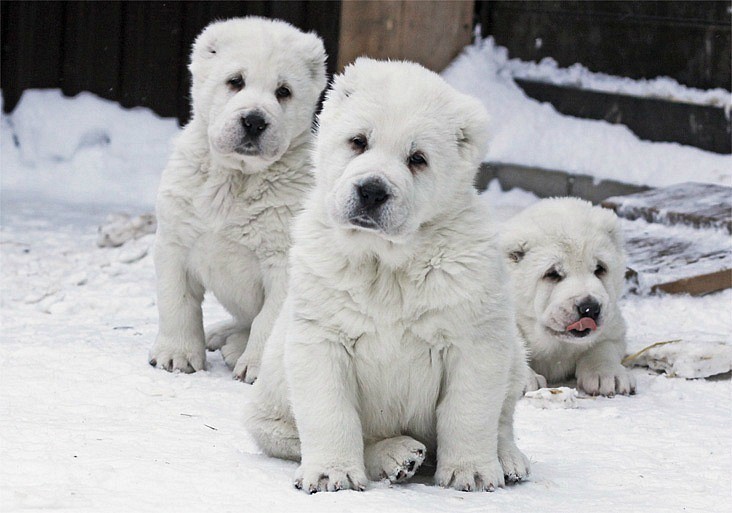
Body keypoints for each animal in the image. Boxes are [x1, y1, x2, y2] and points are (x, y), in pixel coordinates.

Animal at [149, 17, 326, 380]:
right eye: (235, 81)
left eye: (283, 91)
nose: (254, 121)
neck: (236, 180)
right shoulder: (175, 238)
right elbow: (177, 300)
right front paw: (177, 356)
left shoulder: (284, 260)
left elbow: (269, 320)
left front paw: (255, 368)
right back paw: (220, 335)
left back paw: (233, 347)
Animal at [249, 57, 528, 492]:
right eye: (358, 141)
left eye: (418, 158)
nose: (372, 191)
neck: (385, 265)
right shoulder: (321, 335)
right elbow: (331, 410)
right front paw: (331, 473)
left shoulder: (474, 335)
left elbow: (470, 408)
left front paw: (471, 472)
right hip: (270, 405)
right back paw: (399, 455)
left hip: (514, 350)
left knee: (502, 417)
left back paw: (508, 460)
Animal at [498, 197, 636, 396]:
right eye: (552, 273)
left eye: (600, 268)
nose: (590, 308)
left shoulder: (611, 319)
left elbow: (605, 344)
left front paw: (609, 376)